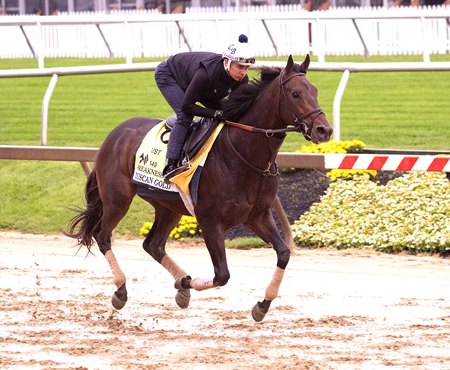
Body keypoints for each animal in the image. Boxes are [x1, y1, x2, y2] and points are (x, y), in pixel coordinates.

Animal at [67, 54, 334, 320]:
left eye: (315, 90)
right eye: (295, 94)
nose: (324, 130)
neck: (242, 155)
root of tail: (113, 135)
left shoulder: (257, 215)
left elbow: (284, 253)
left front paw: (262, 305)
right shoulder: (210, 220)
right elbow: (222, 275)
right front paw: (186, 284)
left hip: (168, 207)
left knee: (152, 245)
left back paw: (180, 285)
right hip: (118, 199)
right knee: (102, 236)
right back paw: (121, 291)